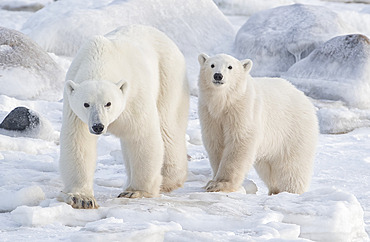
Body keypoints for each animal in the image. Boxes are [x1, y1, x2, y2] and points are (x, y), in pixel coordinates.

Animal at [59, 25, 189, 209]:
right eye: (86, 104)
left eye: (108, 103)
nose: (98, 126)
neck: (101, 57)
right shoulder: (75, 111)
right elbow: (79, 141)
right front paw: (81, 198)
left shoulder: (134, 97)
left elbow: (142, 136)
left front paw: (135, 191)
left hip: (168, 76)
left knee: (168, 126)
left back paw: (169, 179)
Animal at [199, 54, 318, 196]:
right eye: (212, 65)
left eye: (230, 67)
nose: (218, 75)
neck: (226, 102)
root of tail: (304, 98)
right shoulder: (210, 115)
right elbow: (216, 143)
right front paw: (213, 180)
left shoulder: (243, 110)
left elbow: (239, 142)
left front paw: (220, 184)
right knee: (267, 169)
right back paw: (274, 190)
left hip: (294, 131)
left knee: (292, 168)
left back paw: (291, 191)